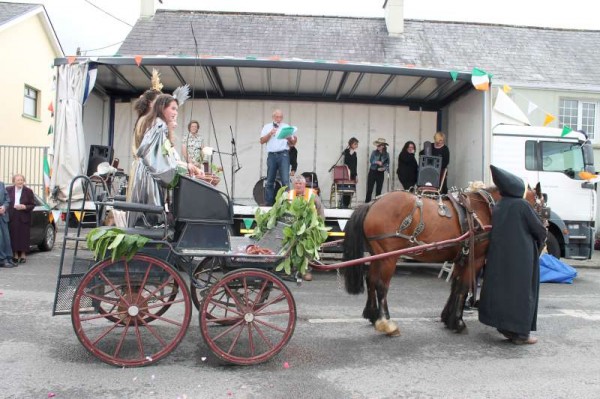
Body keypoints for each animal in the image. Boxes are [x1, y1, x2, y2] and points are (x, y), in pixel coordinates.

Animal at [342, 184, 544, 338]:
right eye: (540, 207)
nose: (543, 237)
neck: (484, 210)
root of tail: (372, 204)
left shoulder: (461, 258)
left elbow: (455, 286)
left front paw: (448, 319)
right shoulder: (476, 259)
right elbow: (463, 288)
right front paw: (458, 322)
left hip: (378, 255)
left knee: (370, 280)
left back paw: (372, 314)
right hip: (389, 257)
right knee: (381, 286)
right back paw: (386, 323)